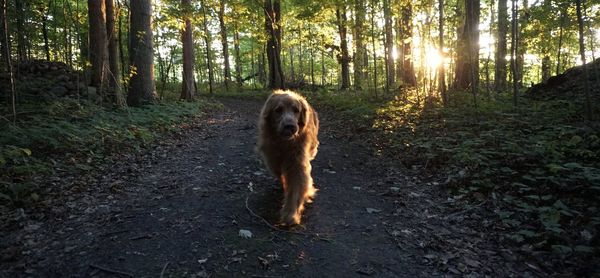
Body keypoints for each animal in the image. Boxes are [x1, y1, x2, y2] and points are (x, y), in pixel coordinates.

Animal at [256, 90, 318, 225]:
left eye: (296, 110)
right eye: (278, 110)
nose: (289, 126)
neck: (284, 144)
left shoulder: (297, 164)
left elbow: (295, 187)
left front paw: (291, 213)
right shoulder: (272, 159)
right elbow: (280, 174)